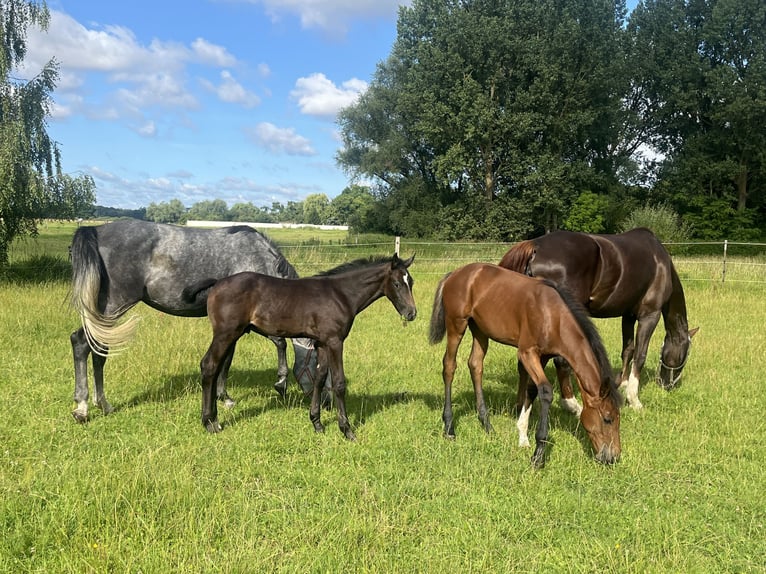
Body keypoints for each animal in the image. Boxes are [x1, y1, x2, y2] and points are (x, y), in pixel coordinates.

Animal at [198, 254, 414, 438]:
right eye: (396, 284)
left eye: (411, 282)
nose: (412, 313)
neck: (341, 295)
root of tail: (217, 284)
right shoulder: (335, 341)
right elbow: (339, 383)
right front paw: (346, 430)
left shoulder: (322, 342)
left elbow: (319, 378)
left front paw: (317, 423)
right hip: (226, 334)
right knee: (209, 365)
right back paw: (209, 423)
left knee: (215, 368)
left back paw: (214, 419)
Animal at [428, 264, 620, 468]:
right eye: (608, 419)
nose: (613, 457)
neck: (553, 316)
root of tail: (454, 274)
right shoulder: (527, 353)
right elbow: (545, 391)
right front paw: (538, 454)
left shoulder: (543, 356)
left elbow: (532, 389)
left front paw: (523, 437)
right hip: (456, 324)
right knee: (449, 366)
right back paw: (449, 427)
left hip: (479, 330)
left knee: (475, 365)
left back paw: (487, 425)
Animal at [500, 227, 700, 412]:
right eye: (686, 354)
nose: (668, 385)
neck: (660, 263)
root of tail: (535, 247)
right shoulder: (650, 315)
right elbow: (640, 355)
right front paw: (634, 399)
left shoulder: (628, 315)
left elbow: (628, 350)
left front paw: (622, 384)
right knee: (560, 360)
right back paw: (571, 404)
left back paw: (521, 404)